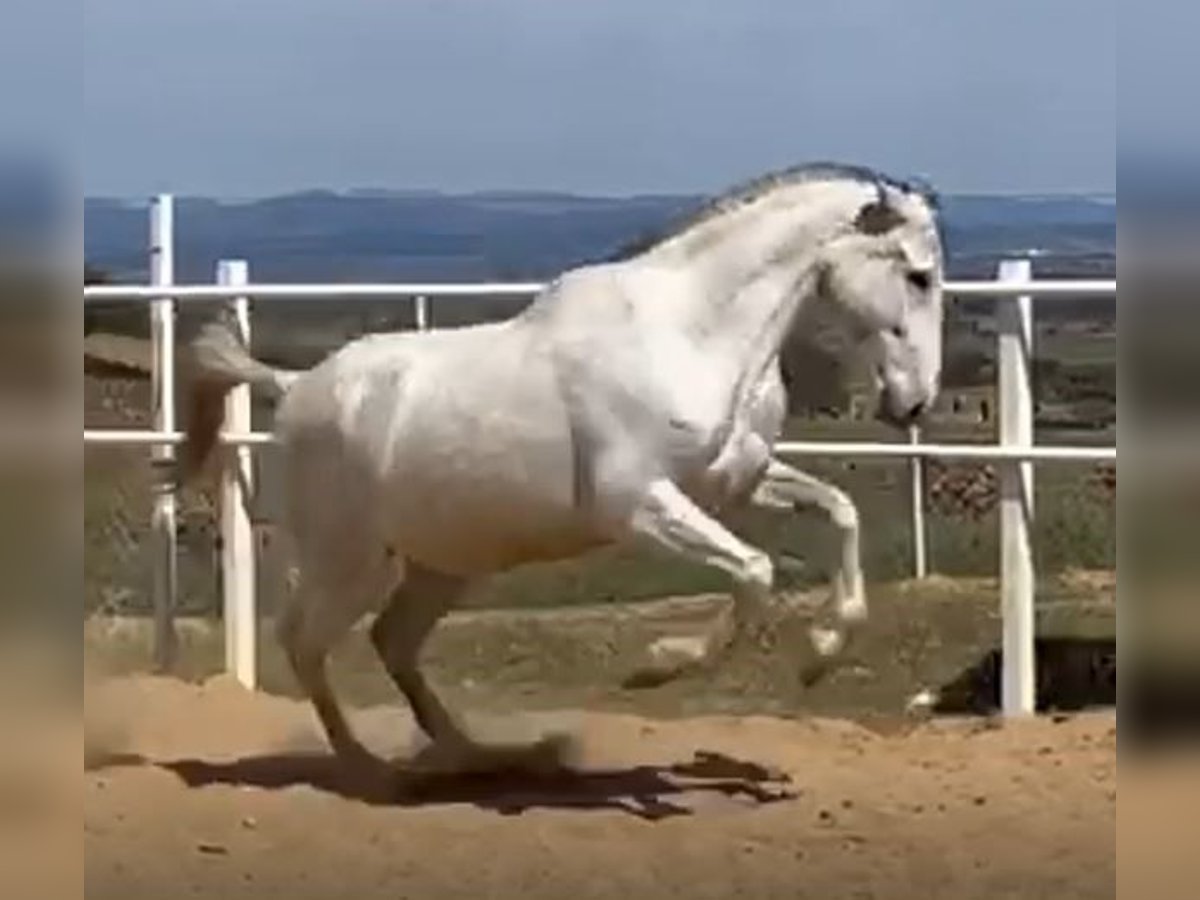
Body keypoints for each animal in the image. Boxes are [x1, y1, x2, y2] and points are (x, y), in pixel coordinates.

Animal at [182, 164, 940, 782]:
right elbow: (755, 570)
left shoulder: (737, 484)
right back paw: (367, 767)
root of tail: (295, 384)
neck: (692, 336)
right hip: (350, 559)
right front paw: (657, 665)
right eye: (918, 275)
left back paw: (472, 756)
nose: (913, 403)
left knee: (391, 640)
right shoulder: (638, 506)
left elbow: (840, 511)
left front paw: (822, 652)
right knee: (305, 641)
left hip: (446, 562)